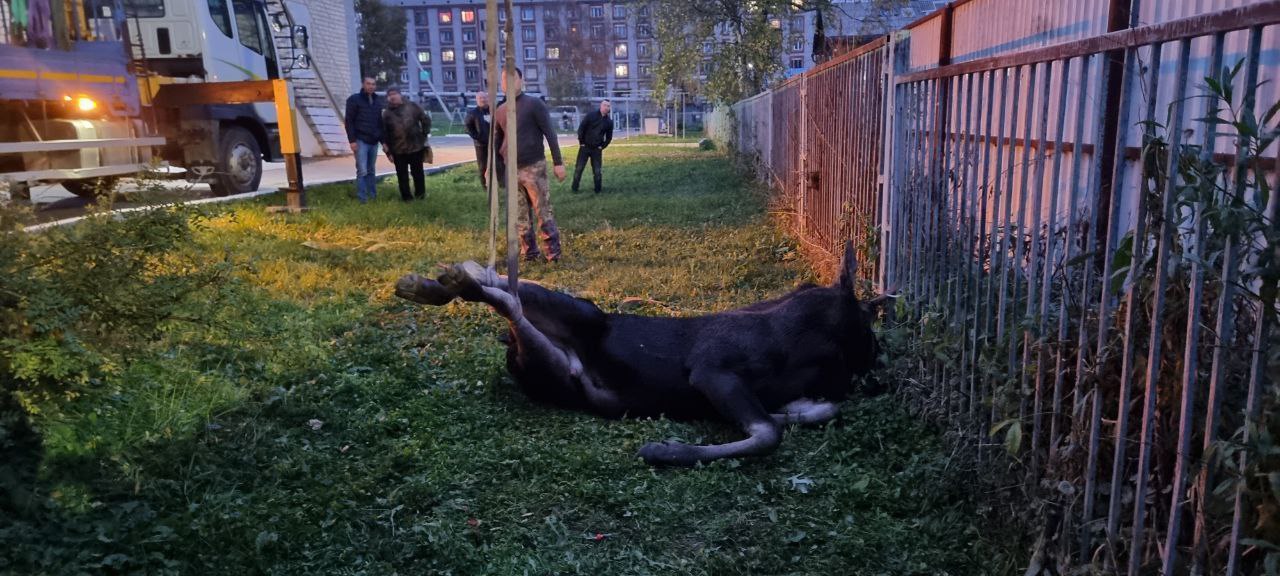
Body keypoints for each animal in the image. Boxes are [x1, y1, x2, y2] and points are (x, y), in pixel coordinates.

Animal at [391, 240, 890, 465]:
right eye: (869, 324)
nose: (879, 353)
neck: (809, 346)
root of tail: (510, 352)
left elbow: (806, 413)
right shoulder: (712, 370)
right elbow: (768, 432)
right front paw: (666, 450)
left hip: (552, 368)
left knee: (512, 305)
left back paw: (440, 284)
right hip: (588, 315)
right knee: (505, 291)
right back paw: (444, 281)